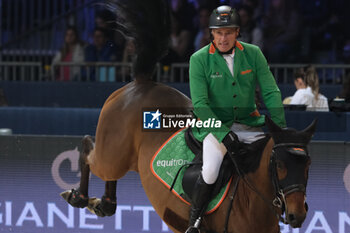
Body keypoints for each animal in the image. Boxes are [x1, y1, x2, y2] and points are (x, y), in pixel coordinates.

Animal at [60, 0, 318, 232]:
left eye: (308, 164)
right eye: (280, 165)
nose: (297, 215)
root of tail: (144, 83)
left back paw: (104, 203)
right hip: (112, 154)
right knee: (89, 149)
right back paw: (79, 196)